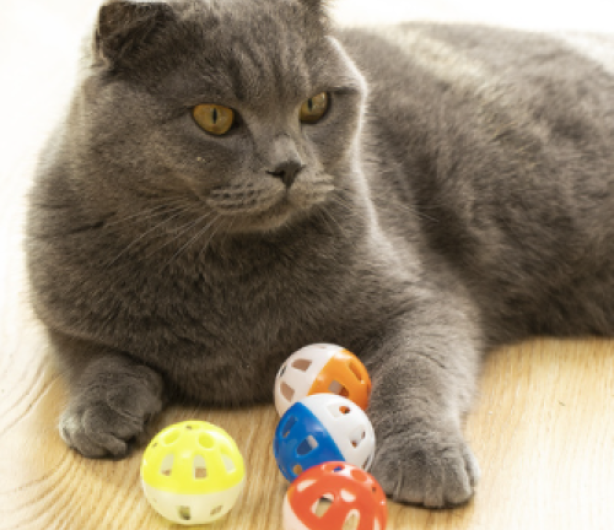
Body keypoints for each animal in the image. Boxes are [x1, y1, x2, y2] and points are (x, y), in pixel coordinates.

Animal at [26, 0, 614, 508]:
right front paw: (99, 412)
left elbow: (414, 372)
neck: (218, 269)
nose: (289, 167)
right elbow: (87, 353)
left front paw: (422, 456)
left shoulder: (425, 298)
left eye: (315, 105)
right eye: (214, 116)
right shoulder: (58, 300)